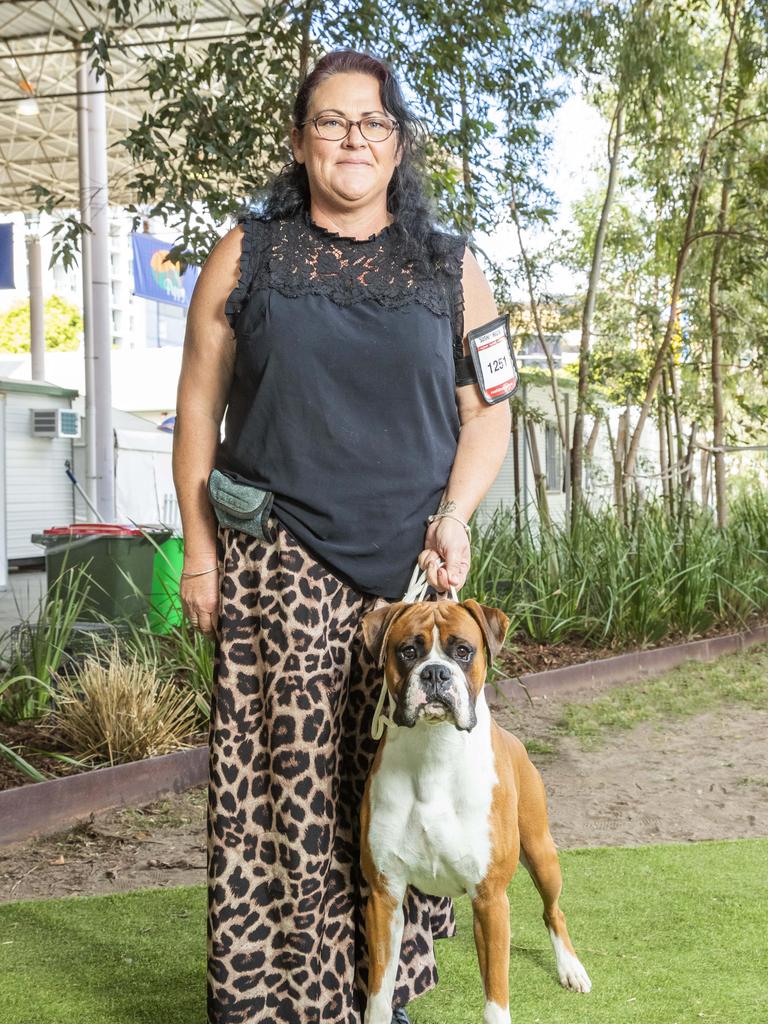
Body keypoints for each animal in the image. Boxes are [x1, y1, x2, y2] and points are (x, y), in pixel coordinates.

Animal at [360, 598, 593, 1024]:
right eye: (408, 651)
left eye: (463, 651)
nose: (435, 672)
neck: (434, 754)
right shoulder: (384, 898)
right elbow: (380, 993)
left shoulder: (489, 899)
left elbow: (496, 999)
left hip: (542, 854)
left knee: (553, 911)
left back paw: (571, 968)